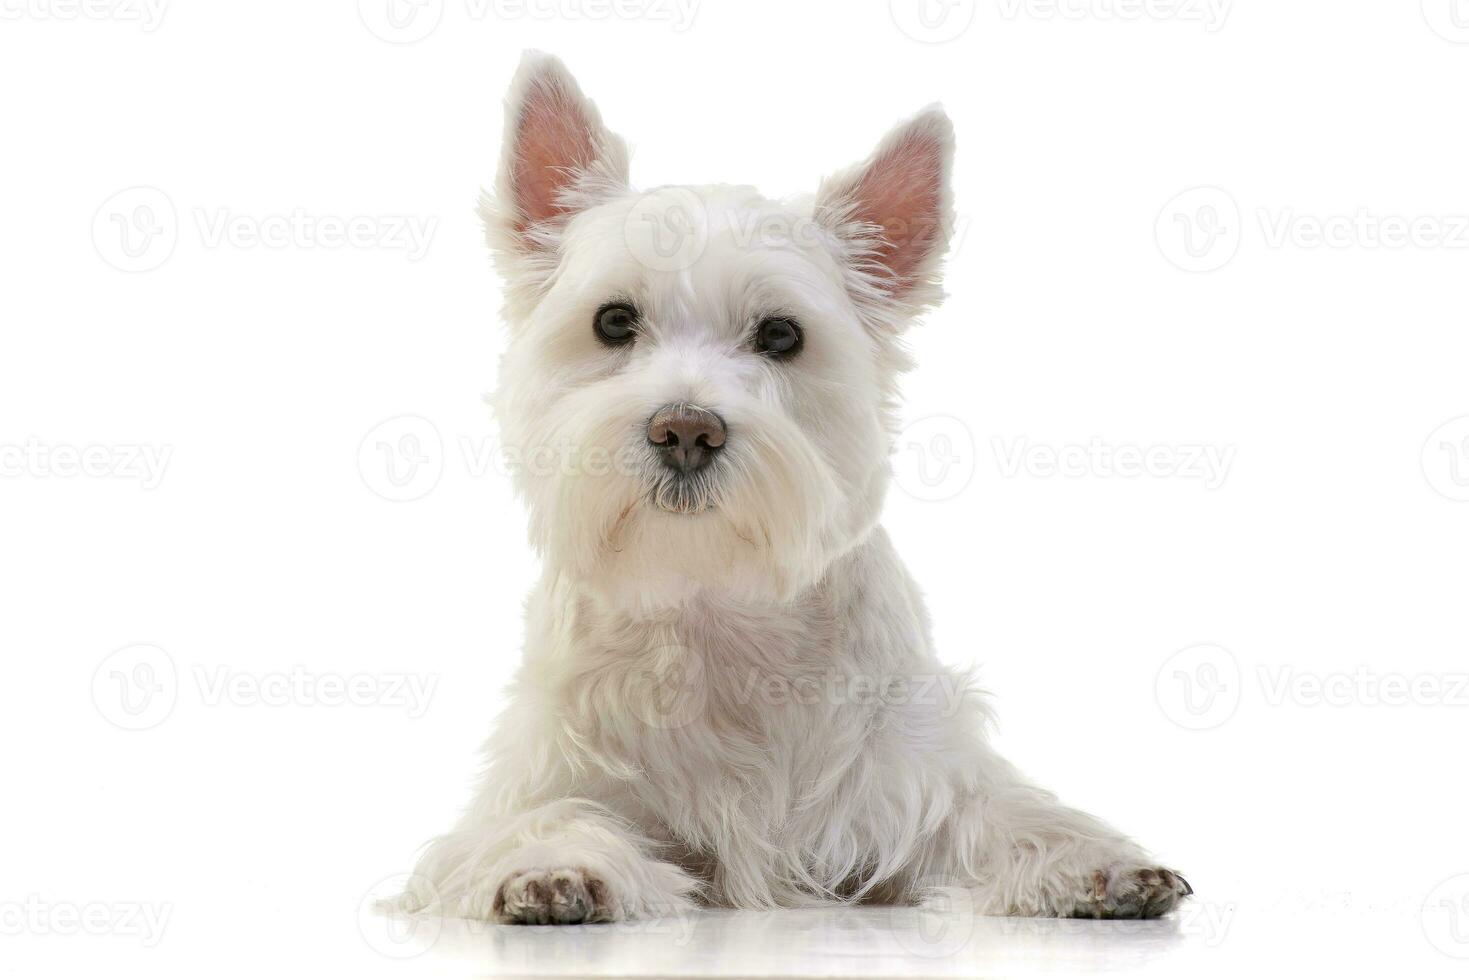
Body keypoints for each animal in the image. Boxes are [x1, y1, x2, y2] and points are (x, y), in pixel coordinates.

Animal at [393, 53, 1192, 928]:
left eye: (780, 334)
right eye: (612, 322)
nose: (685, 429)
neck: (712, 608)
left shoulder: (916, 776)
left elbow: (1004, 815)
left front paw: (1096, 863)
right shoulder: (541, 775)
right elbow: (542, 820)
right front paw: (551, 868)